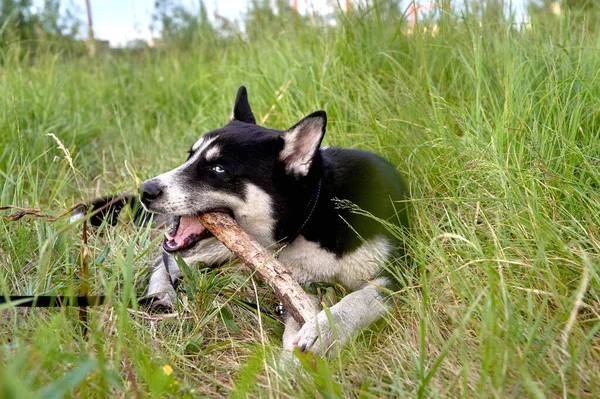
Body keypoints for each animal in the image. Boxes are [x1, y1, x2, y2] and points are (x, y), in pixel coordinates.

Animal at [120, 87, 408, 356]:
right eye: (190, 156)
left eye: (218, 169)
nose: (145, 190)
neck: (312, 214)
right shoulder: (297, 284)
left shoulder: (396, 277)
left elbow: (359, 297)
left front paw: (323, 329)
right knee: (167, 260)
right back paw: (160, 292)